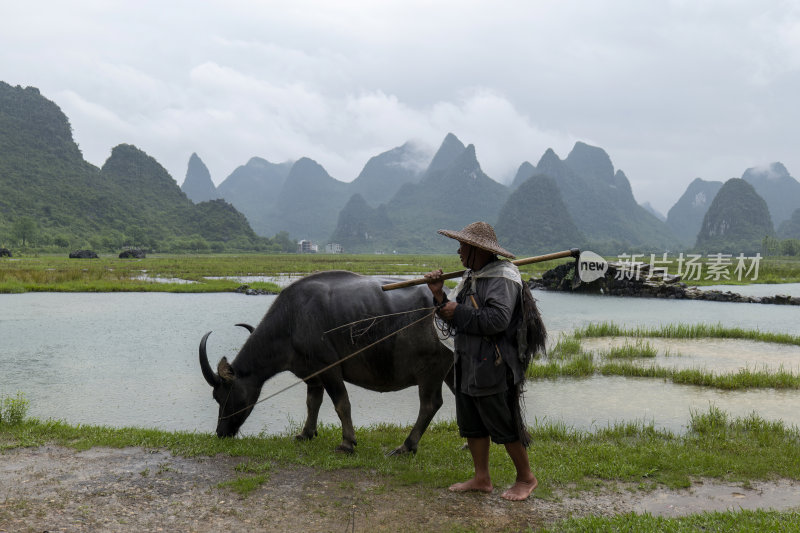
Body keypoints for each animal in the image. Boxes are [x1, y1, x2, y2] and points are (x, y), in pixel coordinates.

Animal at [198, 270, 454, 454]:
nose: (221, 432)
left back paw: (407, 446)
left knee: (430, 405)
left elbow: (342, 404)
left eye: (222, 395)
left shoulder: (328, 368)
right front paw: (306, 433)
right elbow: (313, 403)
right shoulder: (312, 375)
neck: (291, 321)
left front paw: (347, 443)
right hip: (451, 370)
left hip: (430, 371)